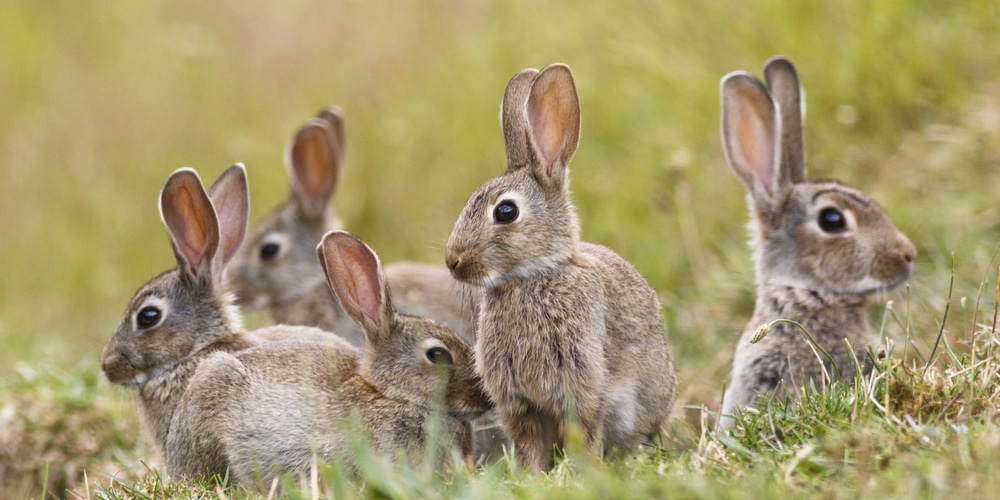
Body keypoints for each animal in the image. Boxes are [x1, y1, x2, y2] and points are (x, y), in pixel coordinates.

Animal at [446, 63, 680, 472]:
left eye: (505, 211)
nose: (452, 260)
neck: (532, 275)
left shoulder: (579, 381)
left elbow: (580, 429)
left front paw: (583, 471)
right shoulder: (518, 401)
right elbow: (528, 442)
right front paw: (532, 475)